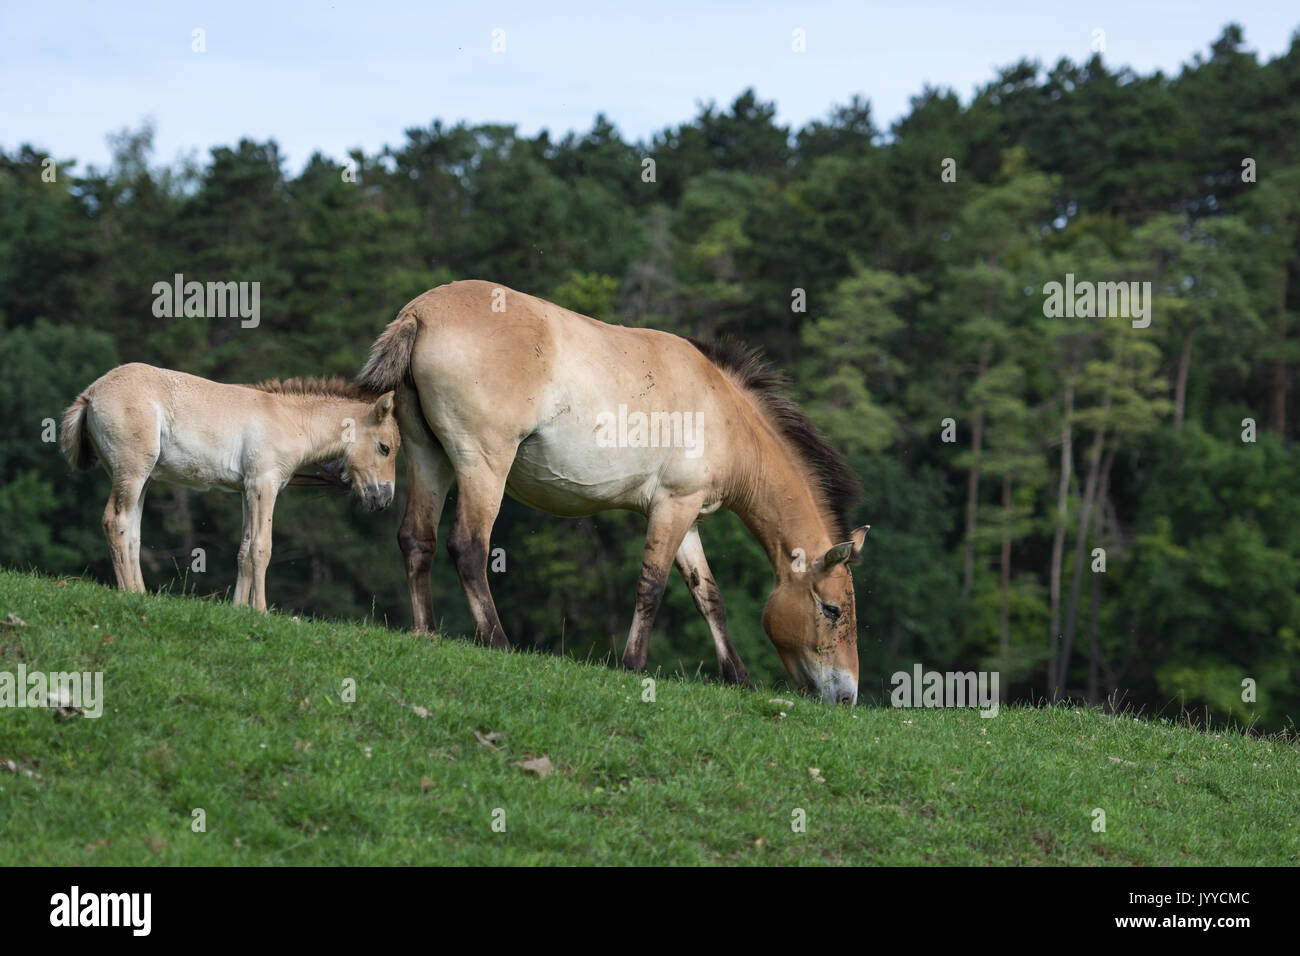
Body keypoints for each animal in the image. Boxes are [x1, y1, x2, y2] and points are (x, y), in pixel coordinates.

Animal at [64, 361, 400, 608]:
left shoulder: (247, 492)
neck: (291, 420)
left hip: (141, 478)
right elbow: (262, 548)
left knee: (132, 533)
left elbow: (244, 550)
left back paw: (140, 593)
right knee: (115, 522)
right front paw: (260, 611)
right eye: (385, 447)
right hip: (132, 472)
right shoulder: (264, 485)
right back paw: (127, 593)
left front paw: (239, 610)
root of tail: (92, 392)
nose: (383, 498)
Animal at [356, 278, 868, 702]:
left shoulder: (685, 518)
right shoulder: (672, 507)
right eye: (832, 609)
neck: (722, 410)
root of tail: (421, 312)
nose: (845, 696)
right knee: (468, 547)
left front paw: (738, 677)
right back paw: (498, 642)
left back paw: (426, 633)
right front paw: (633, 665)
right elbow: (652, 587)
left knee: (417, 540)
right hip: (483, 465)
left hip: (429, 458)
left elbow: (709, 597)